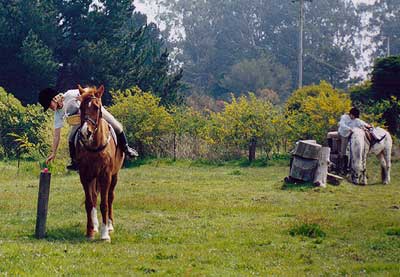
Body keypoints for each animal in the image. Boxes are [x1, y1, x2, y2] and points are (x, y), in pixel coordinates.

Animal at [76, 84, 123, 239]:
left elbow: (105, 204)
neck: (95, 147)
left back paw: (109, 225)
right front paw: (90, 231)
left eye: (97, 107)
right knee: (95, 198)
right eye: (81, 107)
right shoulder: (85, 176)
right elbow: (89, 202)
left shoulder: (105, 175)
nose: (85, 132)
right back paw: (96, 226)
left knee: (110, 198)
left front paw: (105, 235)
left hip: (114, 176)